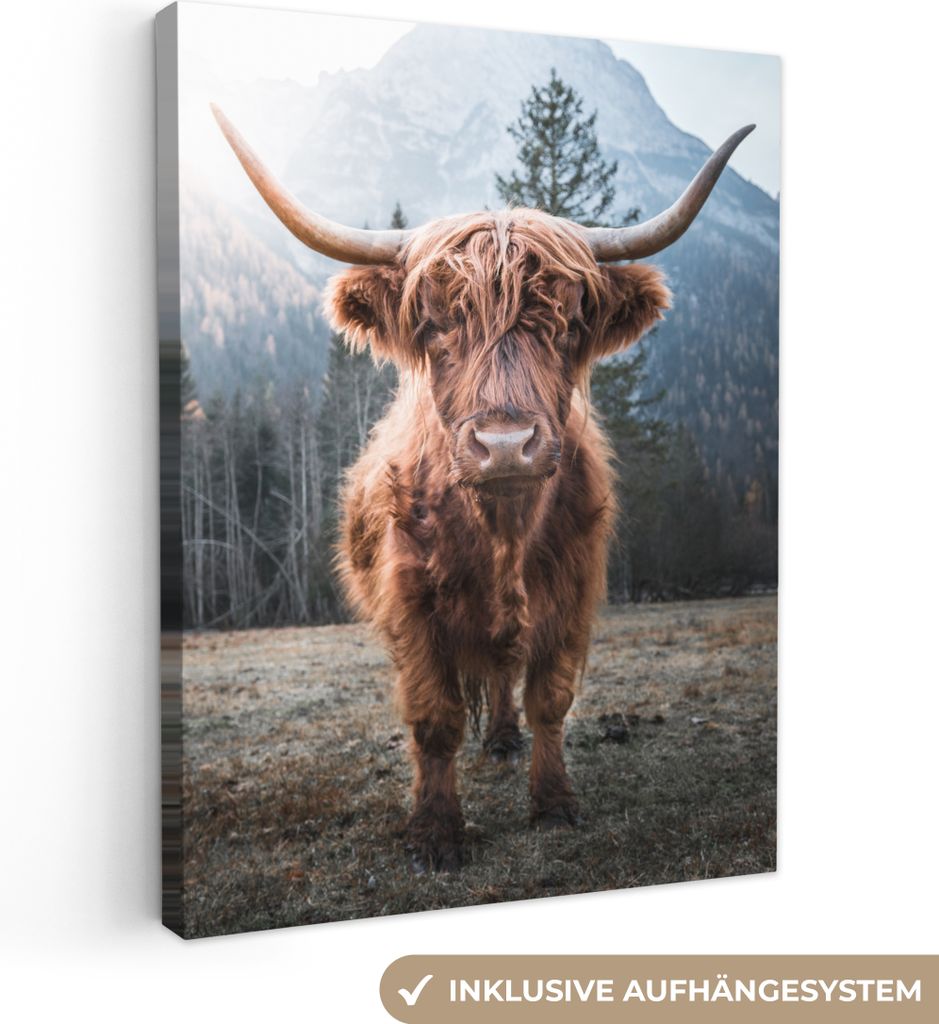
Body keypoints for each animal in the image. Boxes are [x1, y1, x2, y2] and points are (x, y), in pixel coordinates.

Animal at [212, 105, 753, 871]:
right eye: (435, 324)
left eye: (566, 323)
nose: (504, 445)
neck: (501, 532)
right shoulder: (411, 607)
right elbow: (433, 718)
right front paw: (436, 833)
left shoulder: (573, 593)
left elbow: (549, 699)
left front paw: (553, 804)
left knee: (503, 673)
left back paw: (501, 739)